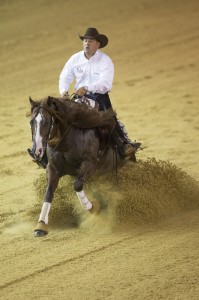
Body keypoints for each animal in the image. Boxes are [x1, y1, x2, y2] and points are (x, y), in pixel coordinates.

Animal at [28, 96, 136, 237]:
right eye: (31, 122)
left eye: (46, 122)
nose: (37, 150)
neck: (66, 144)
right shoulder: (53, 169)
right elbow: (49, 192)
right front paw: (41, 225)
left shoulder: (89, 165)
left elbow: (77, 185)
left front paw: (94, 207)